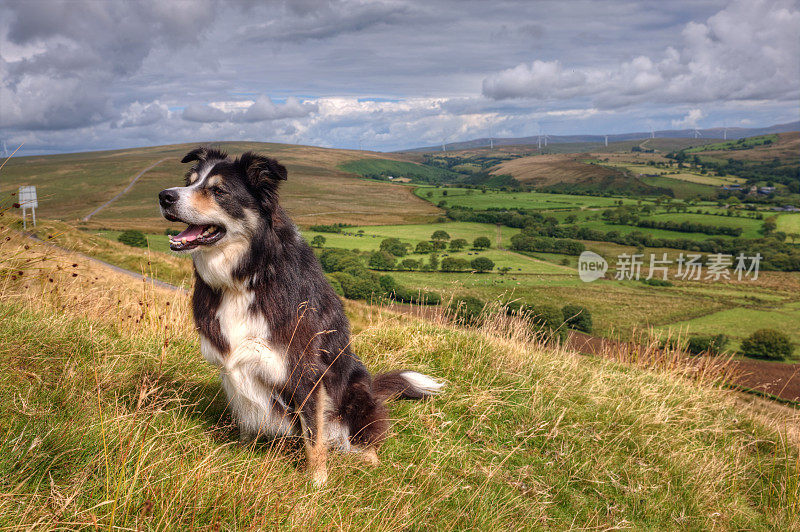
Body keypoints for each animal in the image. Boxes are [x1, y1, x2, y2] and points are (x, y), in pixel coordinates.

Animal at [159, 148, 440, 484]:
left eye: (219, 191)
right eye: (189, 182)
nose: (164, 196)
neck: (248, 277)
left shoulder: (306, 371)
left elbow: (314, 438)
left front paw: (317, 482)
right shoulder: (233, 368)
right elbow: (244, 416)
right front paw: (241, 455)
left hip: (357, 390)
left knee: (364, 438)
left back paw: (365, 461)